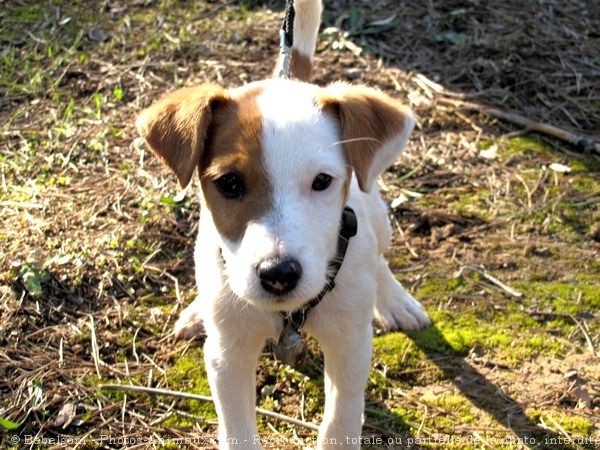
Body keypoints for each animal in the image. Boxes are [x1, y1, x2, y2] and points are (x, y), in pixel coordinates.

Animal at [137, 1, 432, 448]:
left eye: (322, 181)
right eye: (230, 183)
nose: (278, 274)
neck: (288, 313)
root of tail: (289, 78)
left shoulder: (350, 347)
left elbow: (340, 422)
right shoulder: (228, 355)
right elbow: (237, 431)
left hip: (377, 217)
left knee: (380, 257)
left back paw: (396, 301)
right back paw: (196, 312)